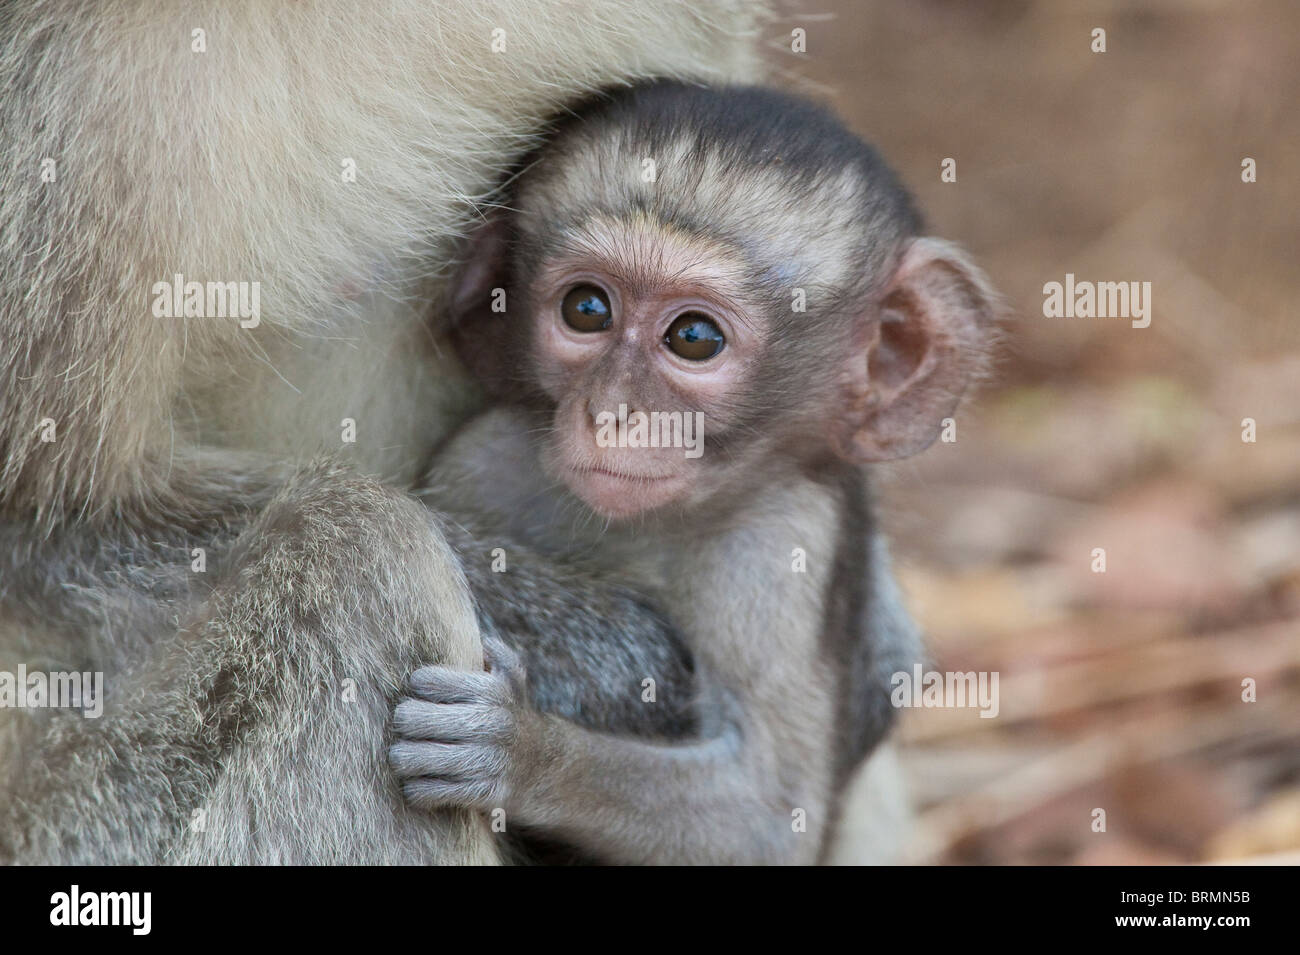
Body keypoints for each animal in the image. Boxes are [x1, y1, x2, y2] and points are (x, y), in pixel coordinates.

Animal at [390, 78, 998, 862]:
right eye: (587, 308)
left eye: (694, 337)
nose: (611, 411)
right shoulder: (489, 456)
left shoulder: (782, 539)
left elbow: (766, 821)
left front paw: (523, 751)